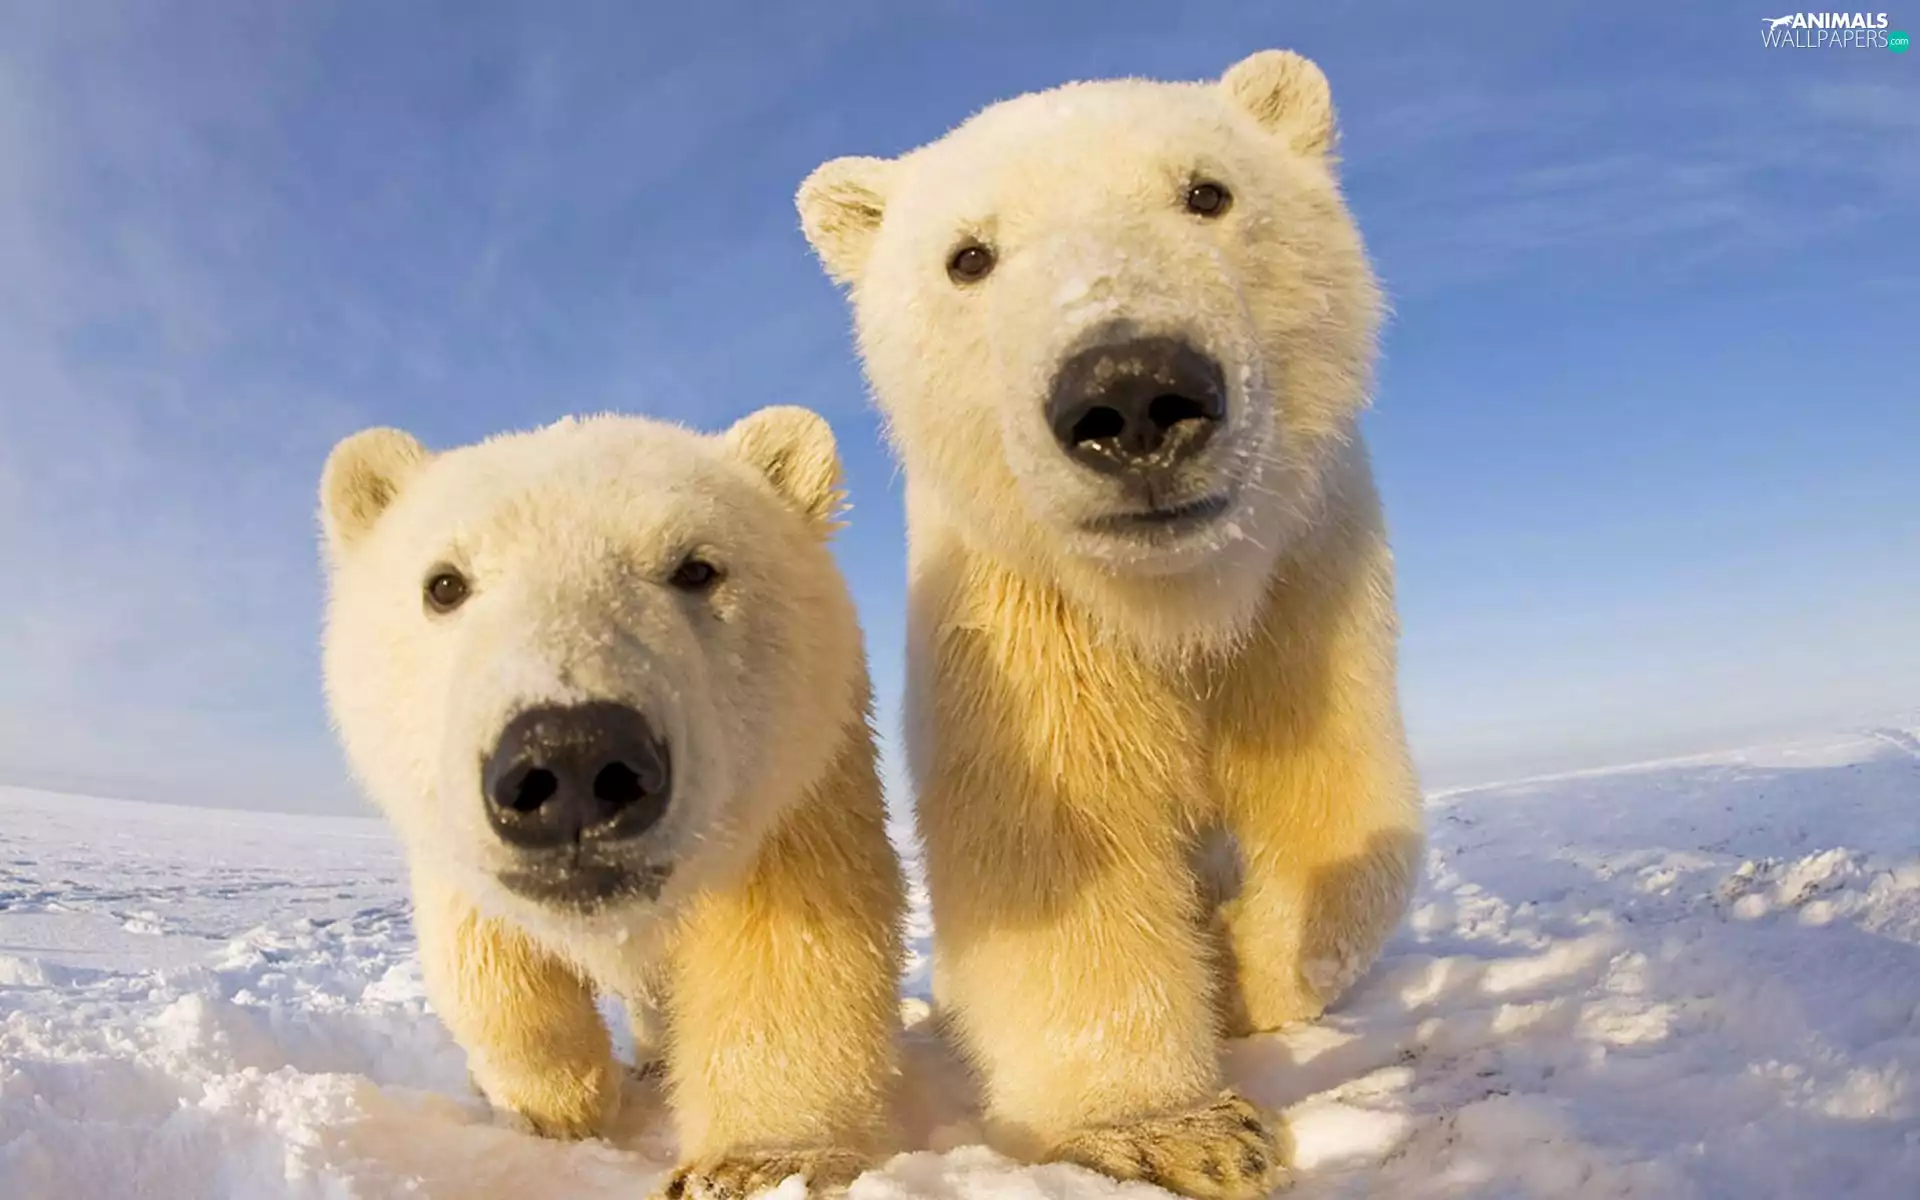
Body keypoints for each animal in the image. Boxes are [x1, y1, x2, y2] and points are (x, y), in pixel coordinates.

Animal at [317, 407, 905, 1199]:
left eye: (697, 568)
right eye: (443, 583)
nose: (572, 757)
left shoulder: (803, 788)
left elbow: (795, 946)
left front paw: (754, 1163)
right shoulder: (449, 834)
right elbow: (486, 961)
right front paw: (552, 1107)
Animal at [795, 49, 1423, 1199]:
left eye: (1208, 192)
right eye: (969, 256)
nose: (1131, 393)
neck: (1174, 603)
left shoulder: (1306, 592)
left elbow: (1343, 807)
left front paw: (1239, 967)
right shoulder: (1028, 628)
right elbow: (1062, 847)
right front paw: (1174, 1130)